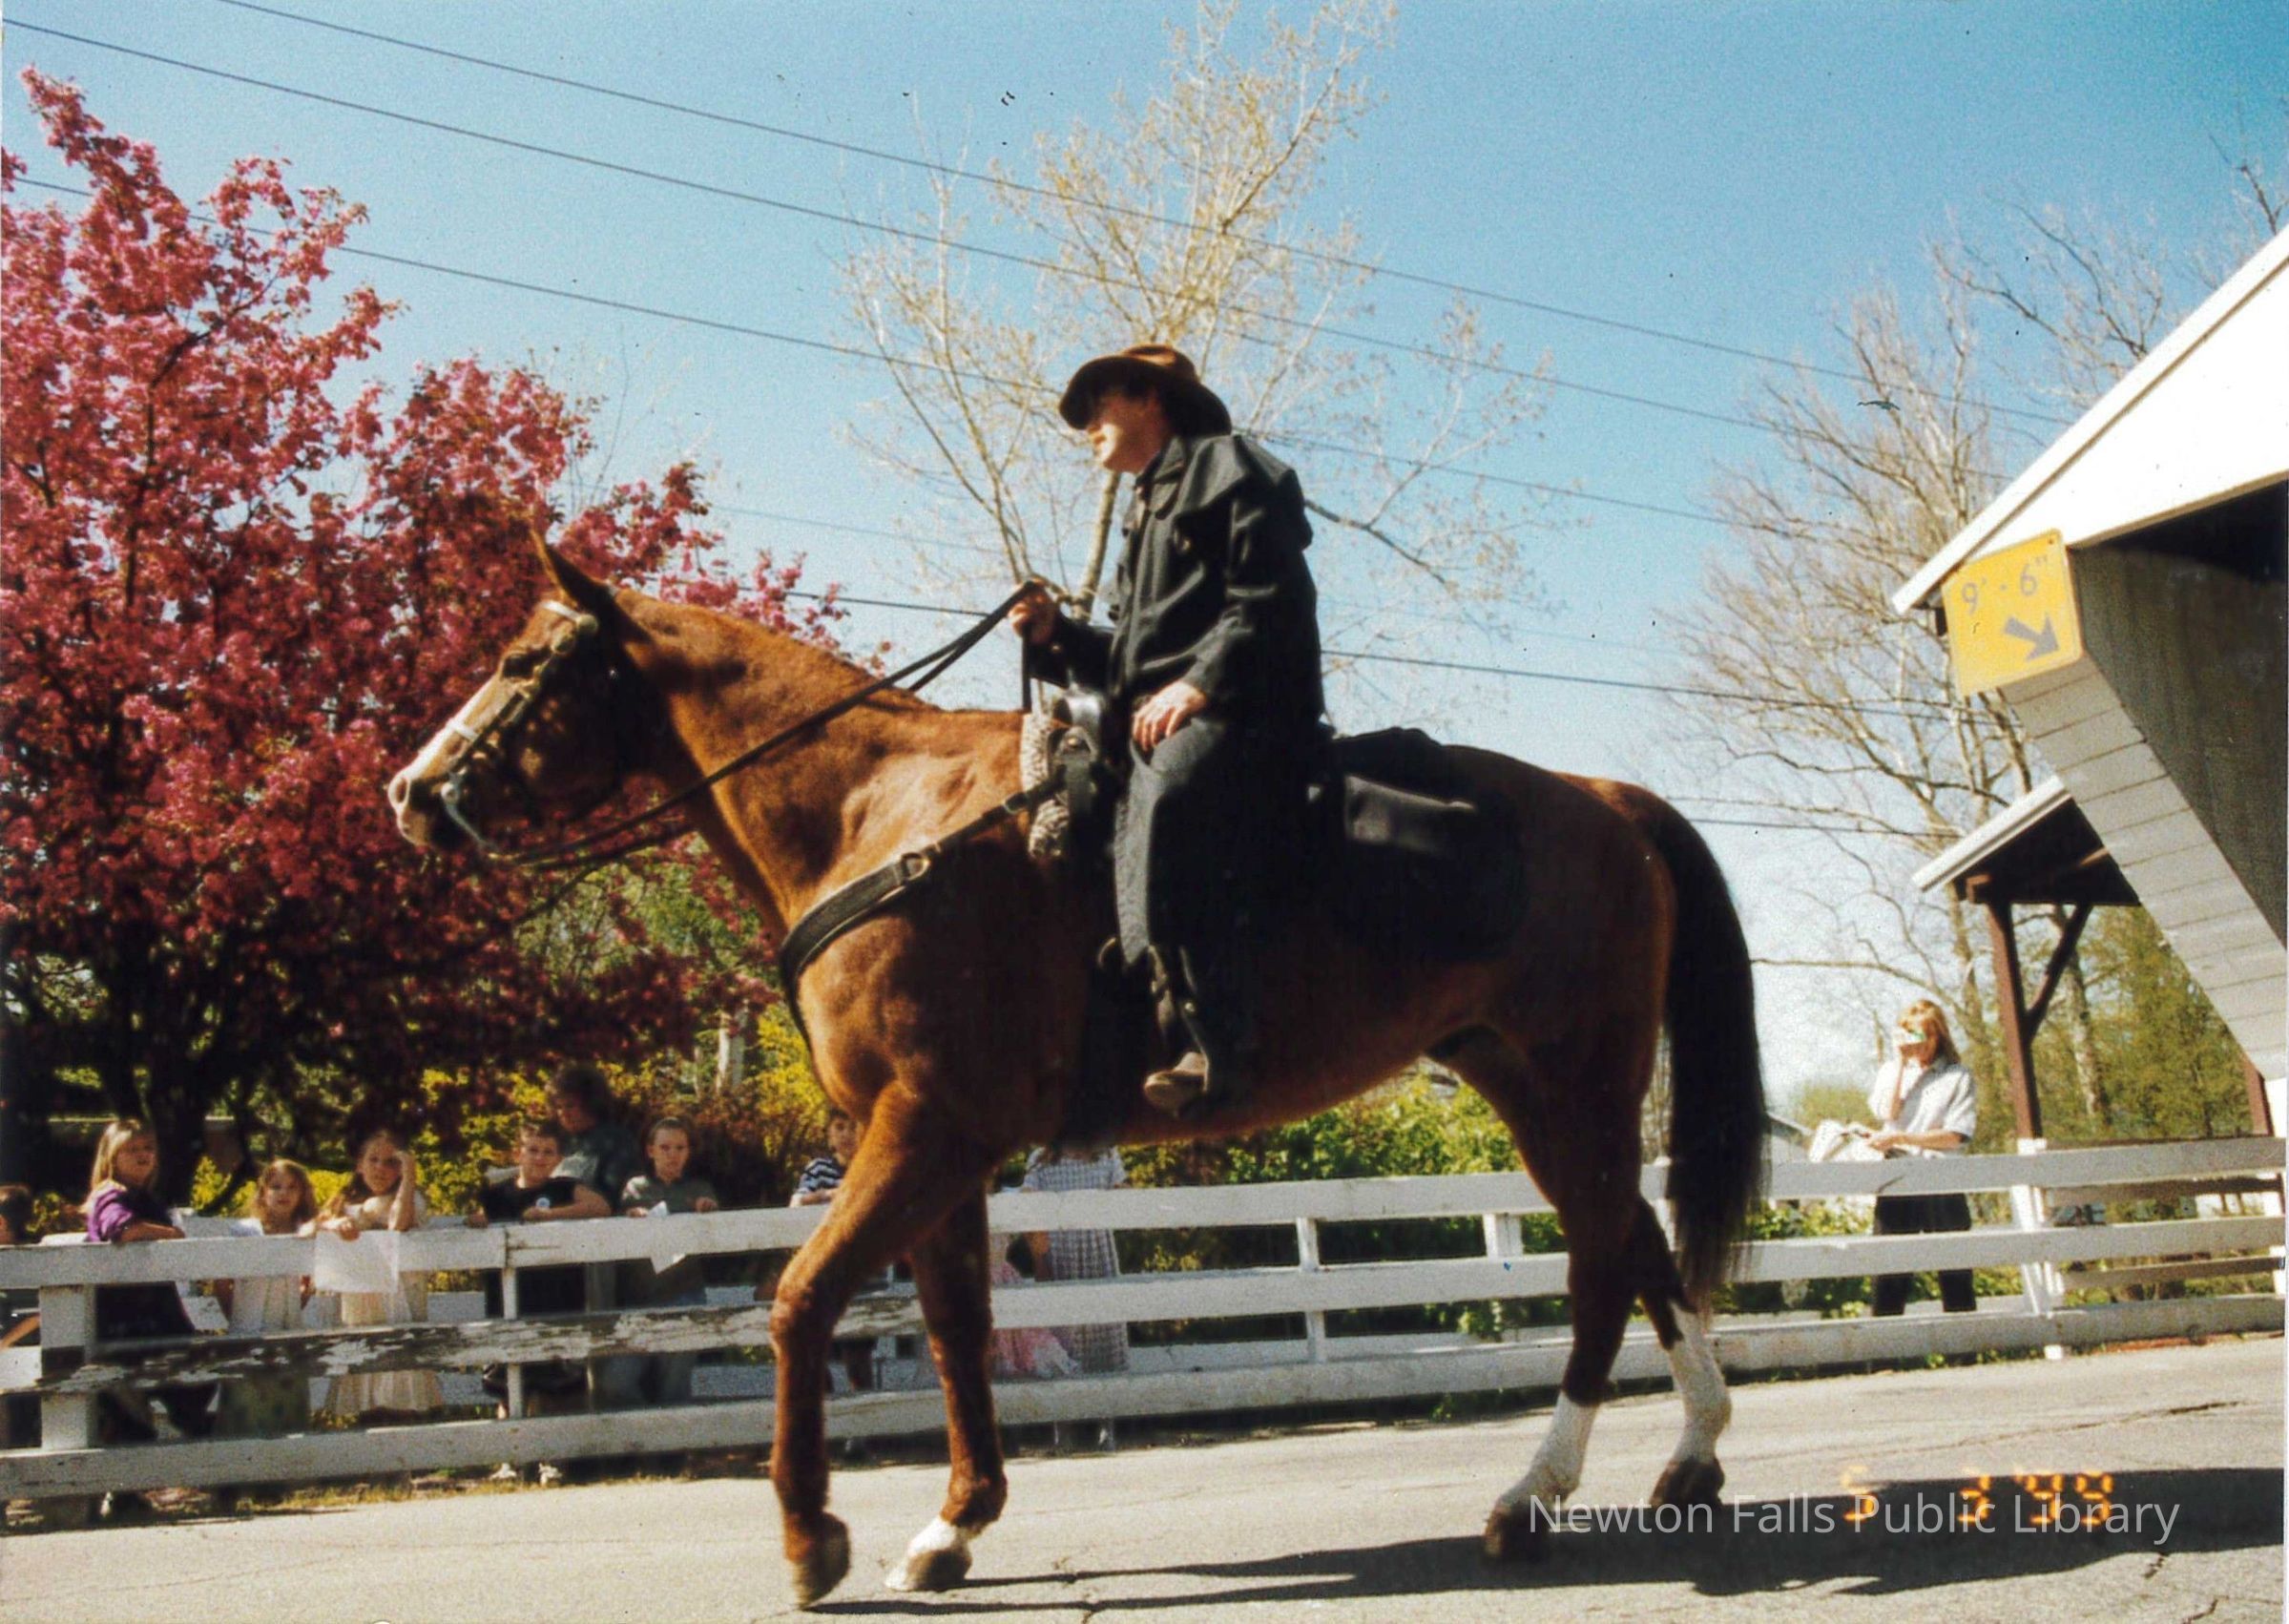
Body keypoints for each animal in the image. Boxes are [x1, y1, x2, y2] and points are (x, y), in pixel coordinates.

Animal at [386, 535, 1768, 1607]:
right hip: (1529, 1086)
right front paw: (951, 1523)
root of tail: (1607, 798)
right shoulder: (937, 1147)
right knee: (1636, 1246)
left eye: (524, 664)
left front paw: (809, 1535)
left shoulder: (919, 1129)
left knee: (1600, 1268)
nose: (408, 791)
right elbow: (956, 1325)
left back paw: (1531, 1496)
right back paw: (1689, 1456)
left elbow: (797, 1299)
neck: (880, 820)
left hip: (1574, 1085)